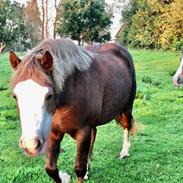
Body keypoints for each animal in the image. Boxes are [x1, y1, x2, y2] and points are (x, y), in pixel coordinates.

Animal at [9, 38, 137, 182]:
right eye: (15, 96)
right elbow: (50, 168)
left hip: (127, 107)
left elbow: (79, 168)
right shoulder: (53, 132)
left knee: (127, 125)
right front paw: (65, 177)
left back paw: (124, 152)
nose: (30, 144)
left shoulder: (83, 131)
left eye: (49, 95)